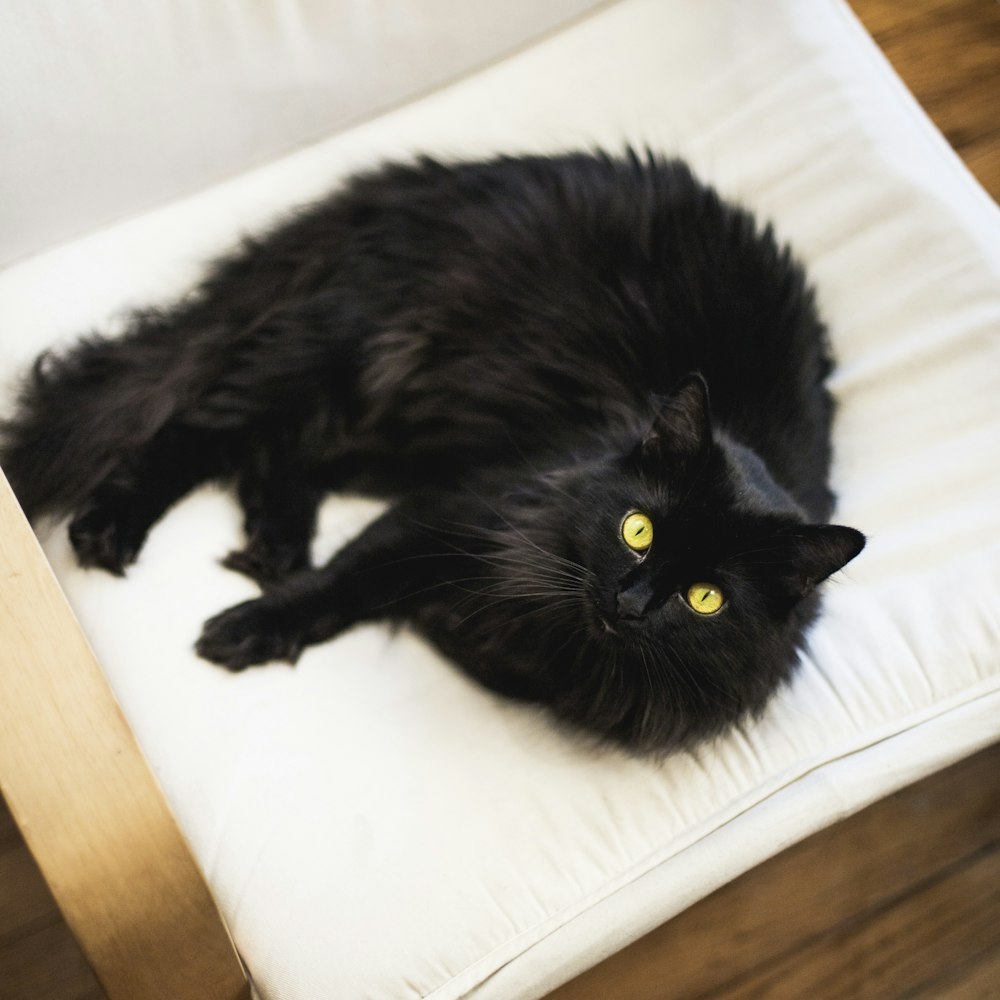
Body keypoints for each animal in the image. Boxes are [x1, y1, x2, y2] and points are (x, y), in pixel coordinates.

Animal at [0, 150, 864, 752]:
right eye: (638, 530)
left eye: (706, 599)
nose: (632, 602)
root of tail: (422, 183)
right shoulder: (455, 506)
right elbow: (343, 583)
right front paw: (248, 630)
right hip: (358, 353)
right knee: (201, 427)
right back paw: (114, 530)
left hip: (396, 415)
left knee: (277, 449)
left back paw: (275, 542)